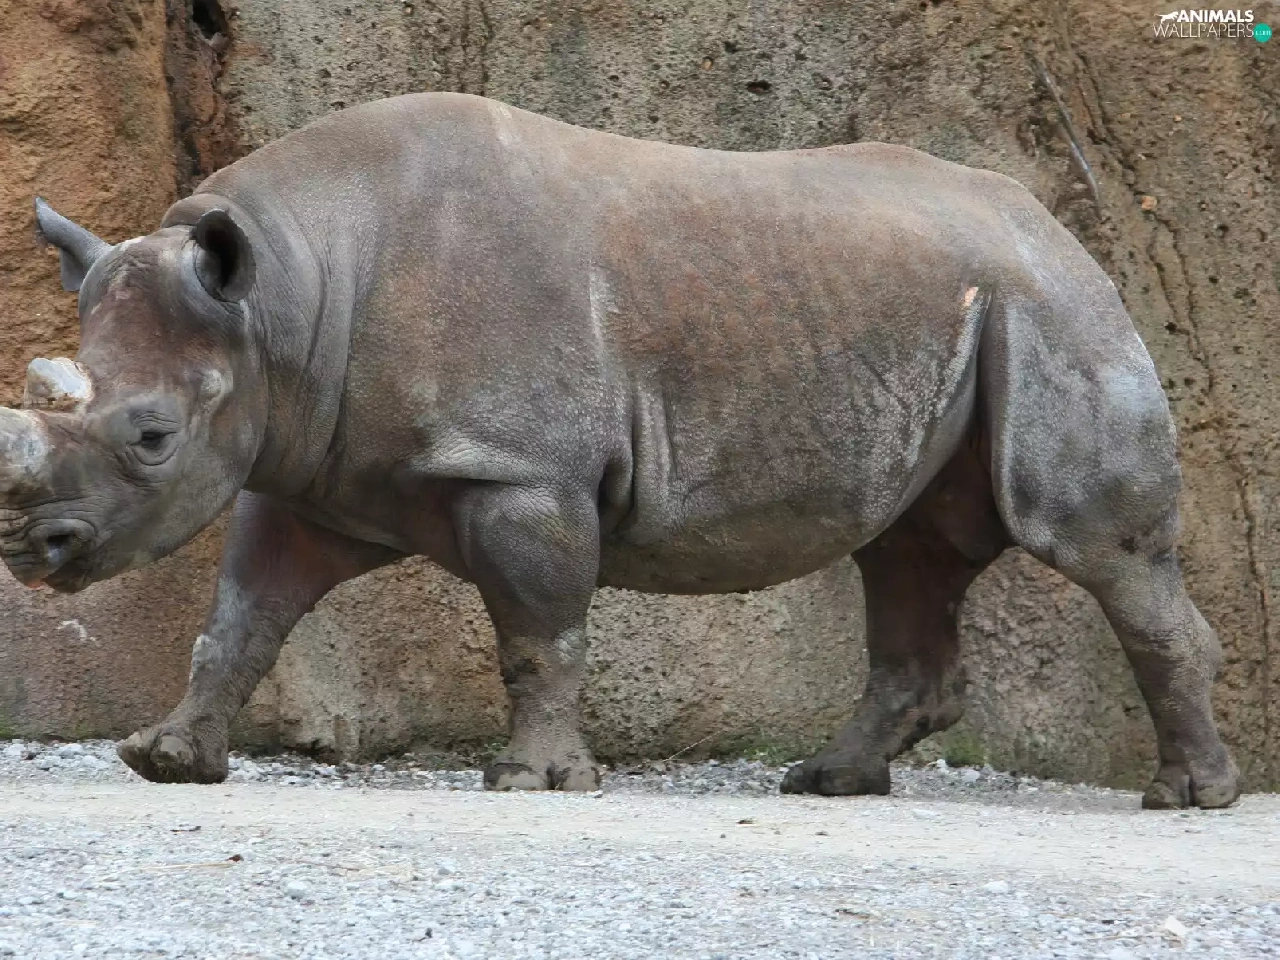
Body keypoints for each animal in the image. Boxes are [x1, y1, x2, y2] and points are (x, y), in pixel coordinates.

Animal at [1, 93, 1238, 808]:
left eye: (151, 437)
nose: (31, 550)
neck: (283, 295)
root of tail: (1060, 226)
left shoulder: (518, 467)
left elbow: (538, 632)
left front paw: (532, 780)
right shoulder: (306, 471)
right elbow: (241, 617)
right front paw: (167, 759)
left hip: (1052, 313)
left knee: (1085, 543)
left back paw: (1187, 798)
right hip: (968, 307)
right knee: (905, 553)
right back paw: (827, 781)